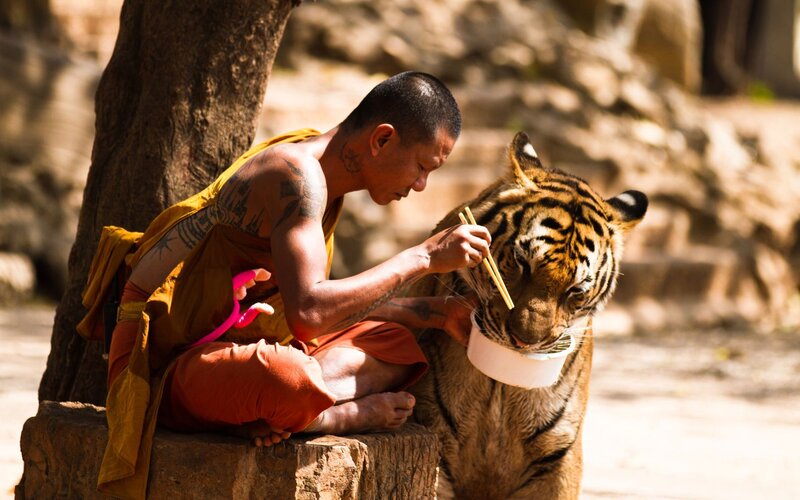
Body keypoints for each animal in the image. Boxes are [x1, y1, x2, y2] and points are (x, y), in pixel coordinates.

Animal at [407, 131, 648, 499]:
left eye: (576, 290)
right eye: (522, 263)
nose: (524, 342)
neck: (501, 386)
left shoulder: (558, 456)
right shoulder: (435, 438)